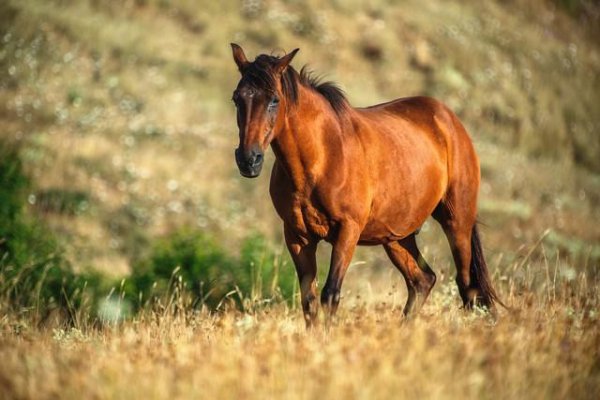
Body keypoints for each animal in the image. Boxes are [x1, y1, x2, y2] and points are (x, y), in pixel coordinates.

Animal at [230, 43, 502, 324]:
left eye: (274, 100)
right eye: (237, 98)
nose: (248, 159)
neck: (322, 157)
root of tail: (450, 120)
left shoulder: (348, 230)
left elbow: (331, 294)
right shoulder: (297, 236)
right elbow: (309, 300)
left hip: (456, 222)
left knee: (467, 286)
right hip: (396, 236)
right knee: (422, 281)